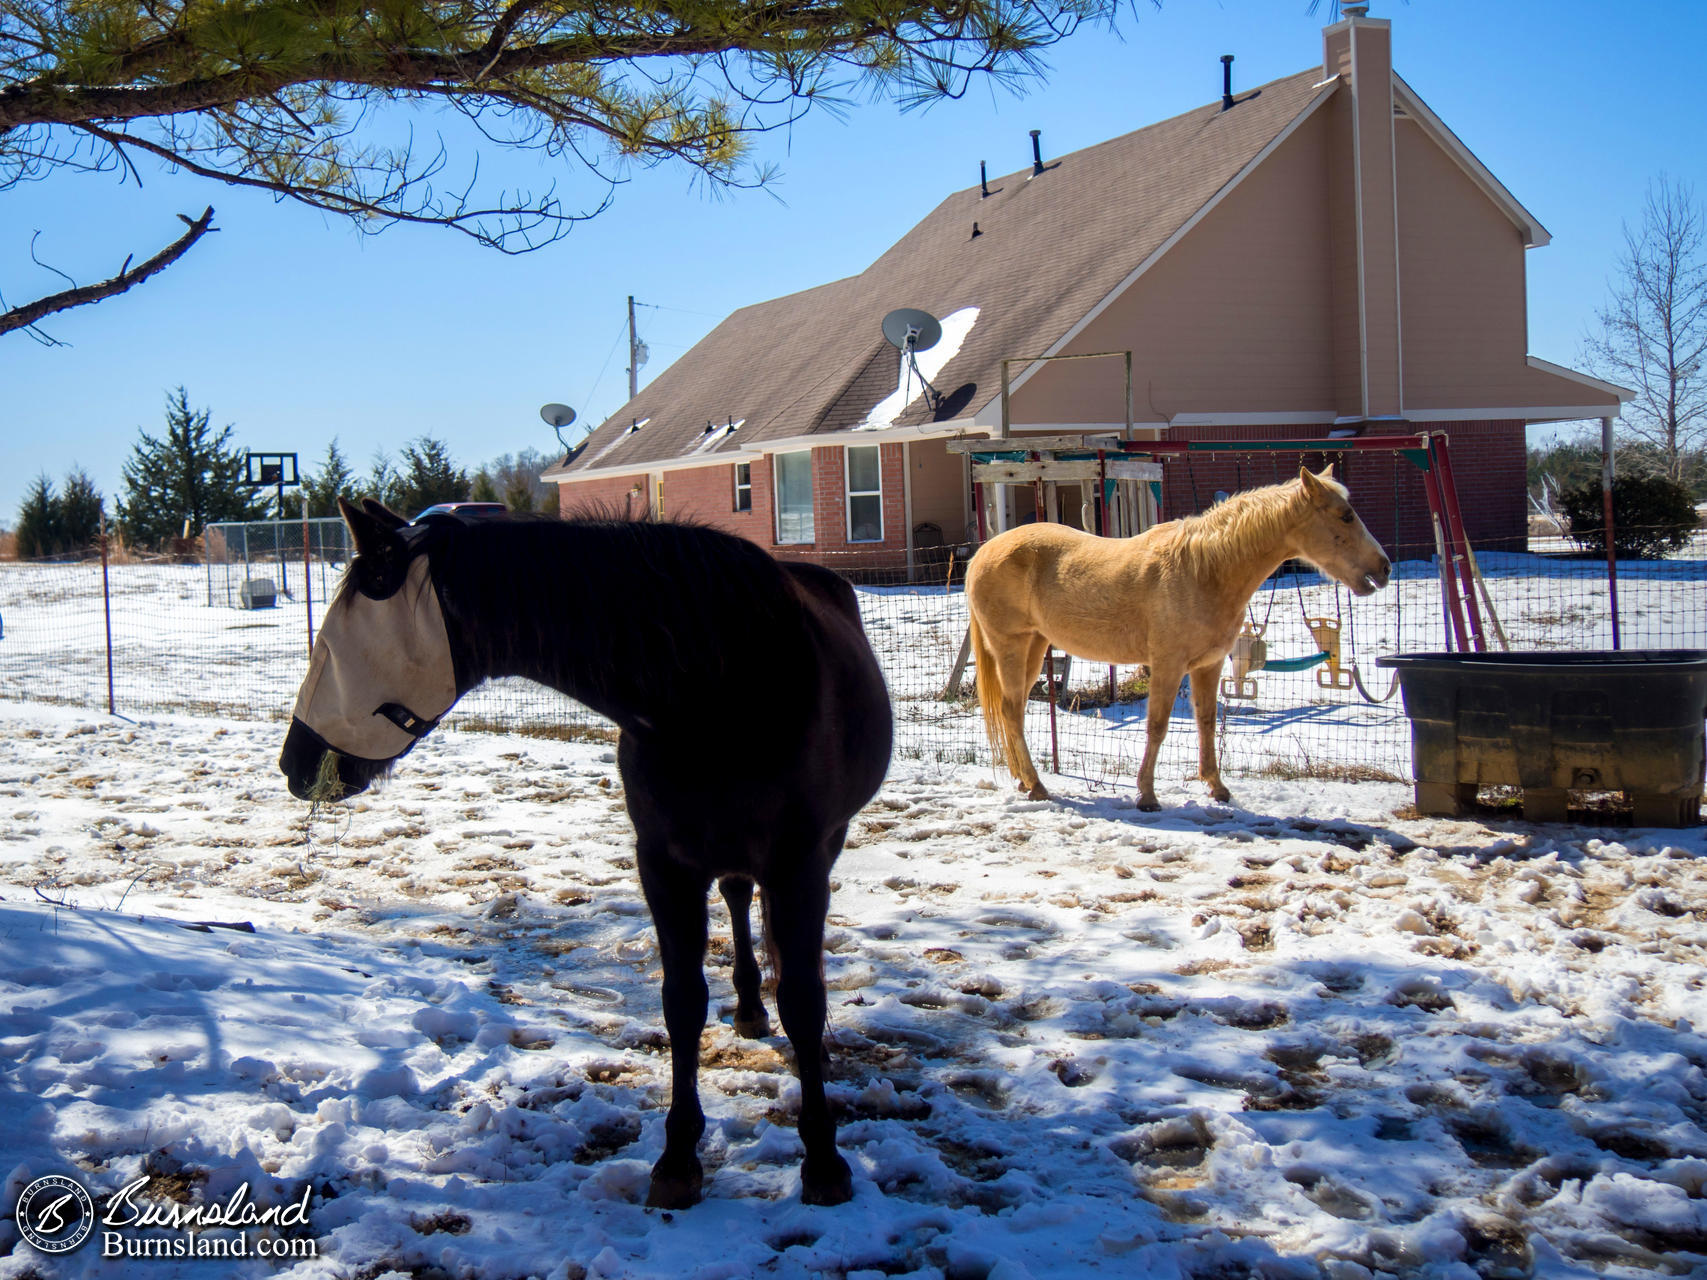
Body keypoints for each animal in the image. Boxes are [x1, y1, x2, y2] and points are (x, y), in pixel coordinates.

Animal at [279, 501, 894, 1215]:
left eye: (330, 646)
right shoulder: (664, 865)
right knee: (740, 899)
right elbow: (682, 1001)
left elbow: (803, 998)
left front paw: (823, 1160)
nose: (295, 765)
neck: (718, 688)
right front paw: (677, 1159)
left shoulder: (798, 864)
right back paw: (746, 1007)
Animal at [969, 471, 1392, 812]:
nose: (1384, 568)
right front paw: (1146, 796)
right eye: (1345, 515)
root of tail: (982, 554)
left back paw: (1024, 780)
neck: (1204, 569)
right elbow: (1157, 726)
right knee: (1011, 710)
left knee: (1013, 710)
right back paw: (1037, 785)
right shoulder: (1168, 665)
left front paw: (1217, 788)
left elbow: (1206, 722)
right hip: (1012, 647)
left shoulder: (1209, 665)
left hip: (1035, 647)